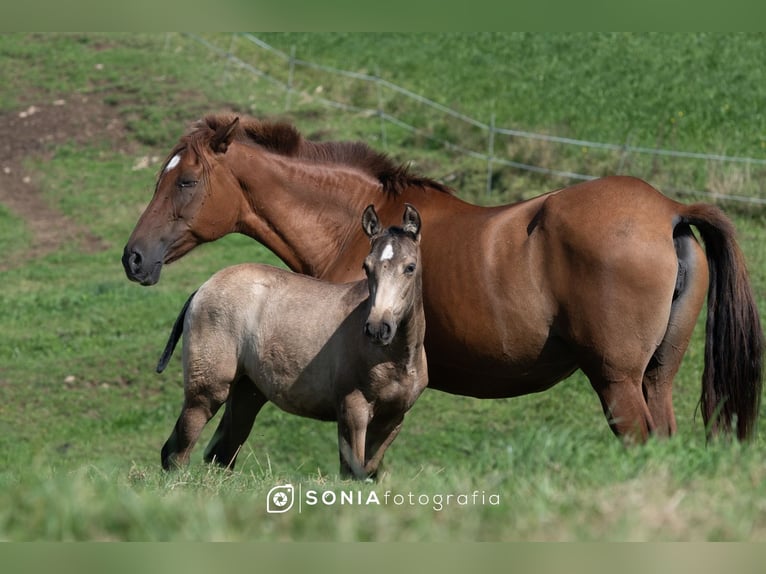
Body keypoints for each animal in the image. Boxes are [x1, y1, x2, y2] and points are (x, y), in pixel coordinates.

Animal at [123, 115, 764, 450]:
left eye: (186, 182)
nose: (134, 258)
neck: (353, 227)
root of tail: (671, 211)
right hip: (654, 378)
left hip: (617, 382)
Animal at [154, 205, 426, 480]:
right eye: (366, 266)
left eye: (410, 267)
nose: (378, 328)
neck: (394, 360)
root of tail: (203, 288)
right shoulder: (352, 410)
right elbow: (352, 473)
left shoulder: (392, 420)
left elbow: (367, 472)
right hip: (207, 391)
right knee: (177, 452)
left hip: (246, 394)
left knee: (219, 454)